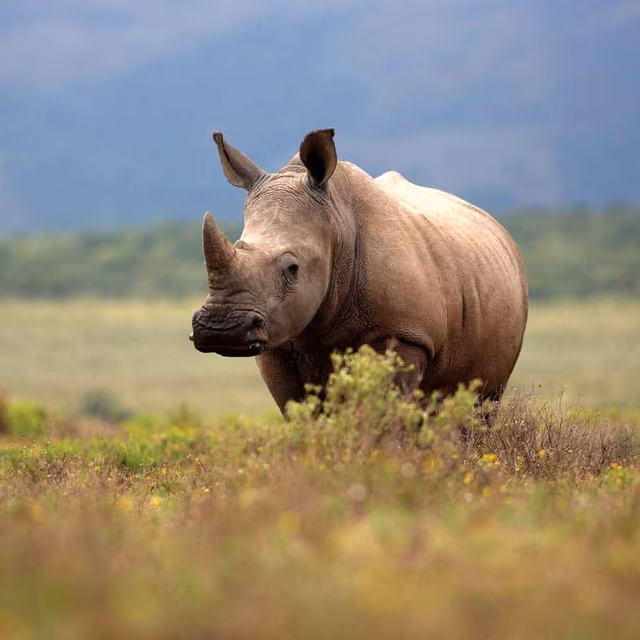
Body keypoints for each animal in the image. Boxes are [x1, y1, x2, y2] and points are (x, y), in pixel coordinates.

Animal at [190, 129, 528, 415]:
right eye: (238, 246)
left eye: (293, 268)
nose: (221, 329)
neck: (337, 222)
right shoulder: (277, 339)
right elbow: (301, 413)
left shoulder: (404, 335)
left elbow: (384, 413)